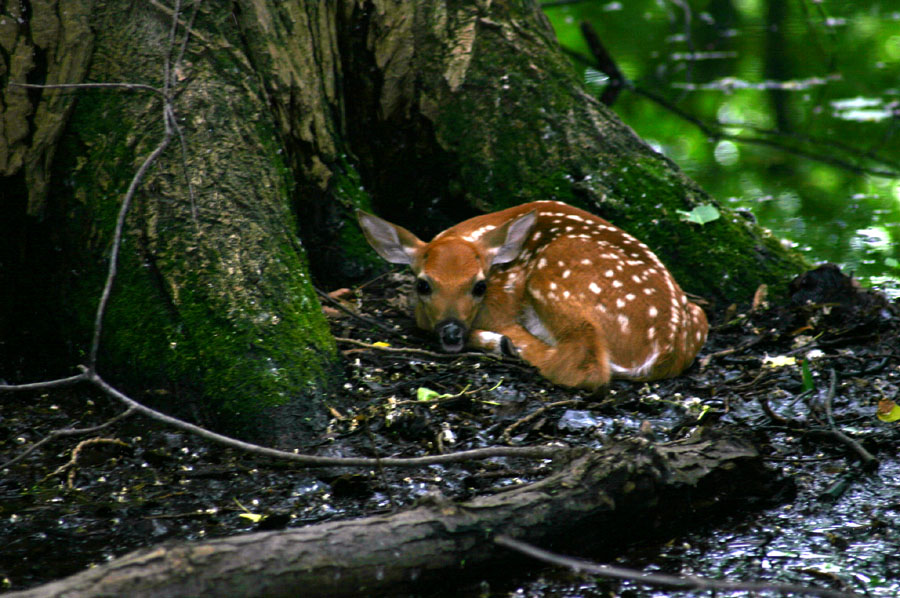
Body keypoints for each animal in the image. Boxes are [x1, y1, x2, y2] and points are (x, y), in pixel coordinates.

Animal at [356, 201, 708, 391]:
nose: (452, 332)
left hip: (558, 266)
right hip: (699, 314)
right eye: (423, 285)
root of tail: (663, 351)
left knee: (582, 365)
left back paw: (500, 343)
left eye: (480, 286)